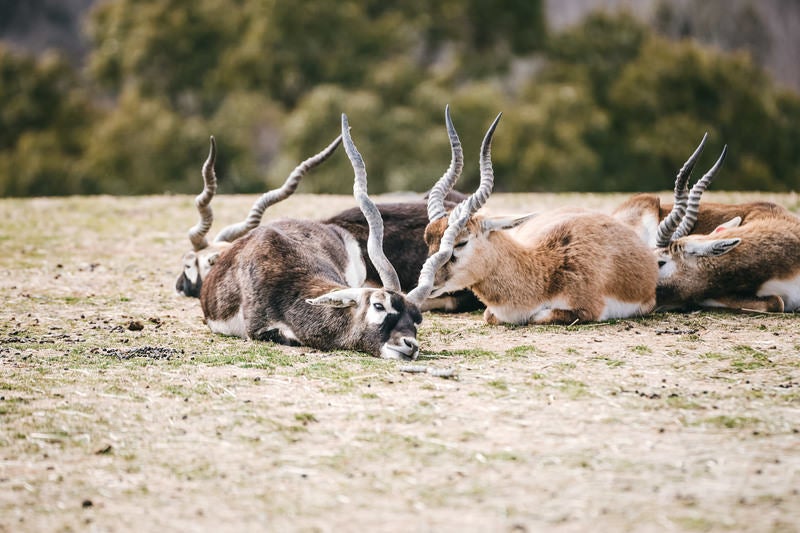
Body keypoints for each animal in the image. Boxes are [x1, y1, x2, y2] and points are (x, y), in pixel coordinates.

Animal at [418, 113, 656, 324]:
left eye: (461, 242)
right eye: (428, 241)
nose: (428, 284)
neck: (543, 273)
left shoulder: (588, 310)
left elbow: (538, 316)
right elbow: (491, 316)